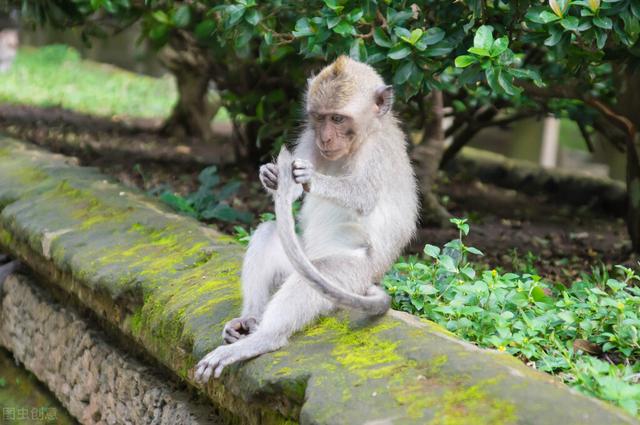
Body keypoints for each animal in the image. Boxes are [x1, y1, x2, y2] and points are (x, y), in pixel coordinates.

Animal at [192, 55, 418, 380]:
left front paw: (310, 177)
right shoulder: (310, 138)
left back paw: (264, 338)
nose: (325, 137)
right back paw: (249, 320)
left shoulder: (379, 151)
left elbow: (364, 197)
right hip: (298, 259)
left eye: (338, 119)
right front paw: (270, 175)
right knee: (268, 233)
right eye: (319, 118)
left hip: (353, 275)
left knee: (318, 274)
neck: (363, 137)